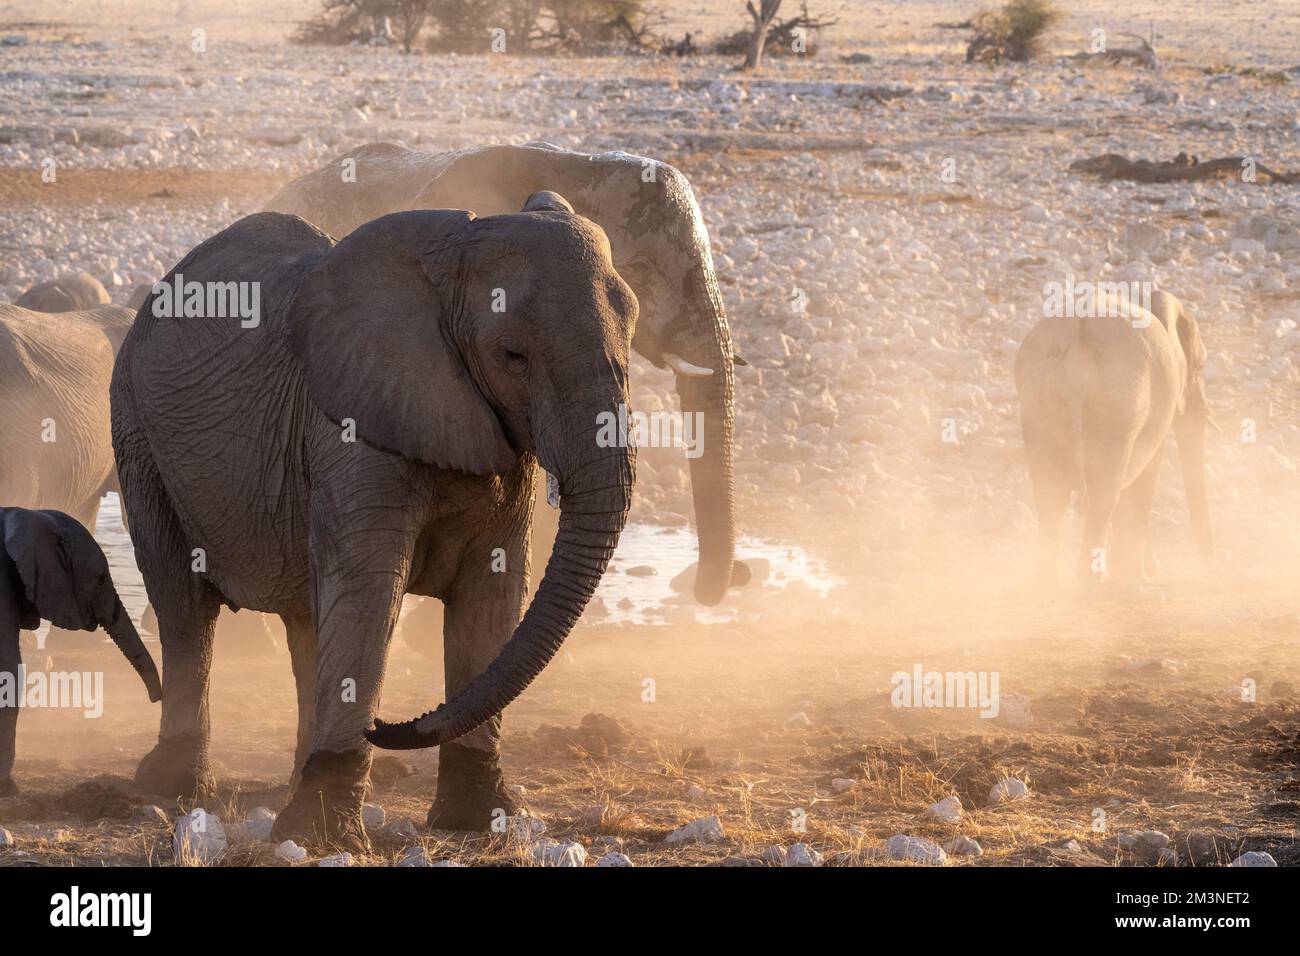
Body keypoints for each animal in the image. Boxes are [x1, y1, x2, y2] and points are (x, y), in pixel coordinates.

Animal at [111, 193, 638, 848]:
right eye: (512, 354)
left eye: (635, 327)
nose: (388, 726)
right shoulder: (350, 426)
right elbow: (369, 589)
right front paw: (321, 839)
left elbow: (494, 590)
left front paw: (481, 821)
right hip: (137, 430)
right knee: (185, 606)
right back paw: (175, 786)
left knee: (306, 618)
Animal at [1014, 289, 1214, 584]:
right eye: (1199, 368)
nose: (1214, 560)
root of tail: (1076, 337)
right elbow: (1144, 479)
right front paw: (1141, 579)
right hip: (1118, 405)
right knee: (1104, 492)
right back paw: (1095, 586)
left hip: (1038, 400)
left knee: (1049, 493)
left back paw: (1048, 584)